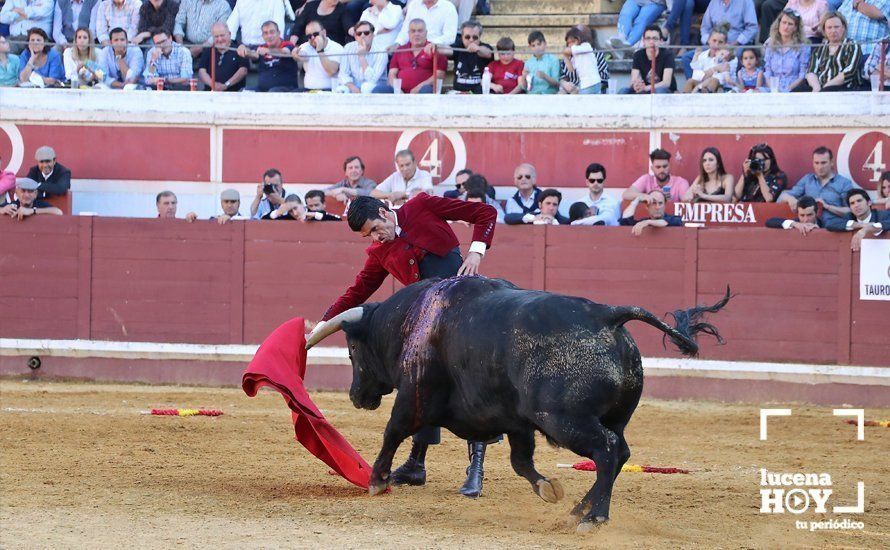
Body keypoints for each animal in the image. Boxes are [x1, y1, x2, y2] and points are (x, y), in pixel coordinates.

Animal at [306, 278, 728, 532]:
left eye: (352, 348)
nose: (357, 397)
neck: (413, 320)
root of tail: (607, 316)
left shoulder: (415, 395)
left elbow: (393, 431)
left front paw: (377, 480)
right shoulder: (514, 421)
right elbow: (520, 461)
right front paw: (548, 489)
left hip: (564, 420)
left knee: (607, 451)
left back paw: (592, 517)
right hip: (612, 418)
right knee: (620, 452)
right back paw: (580, 508)